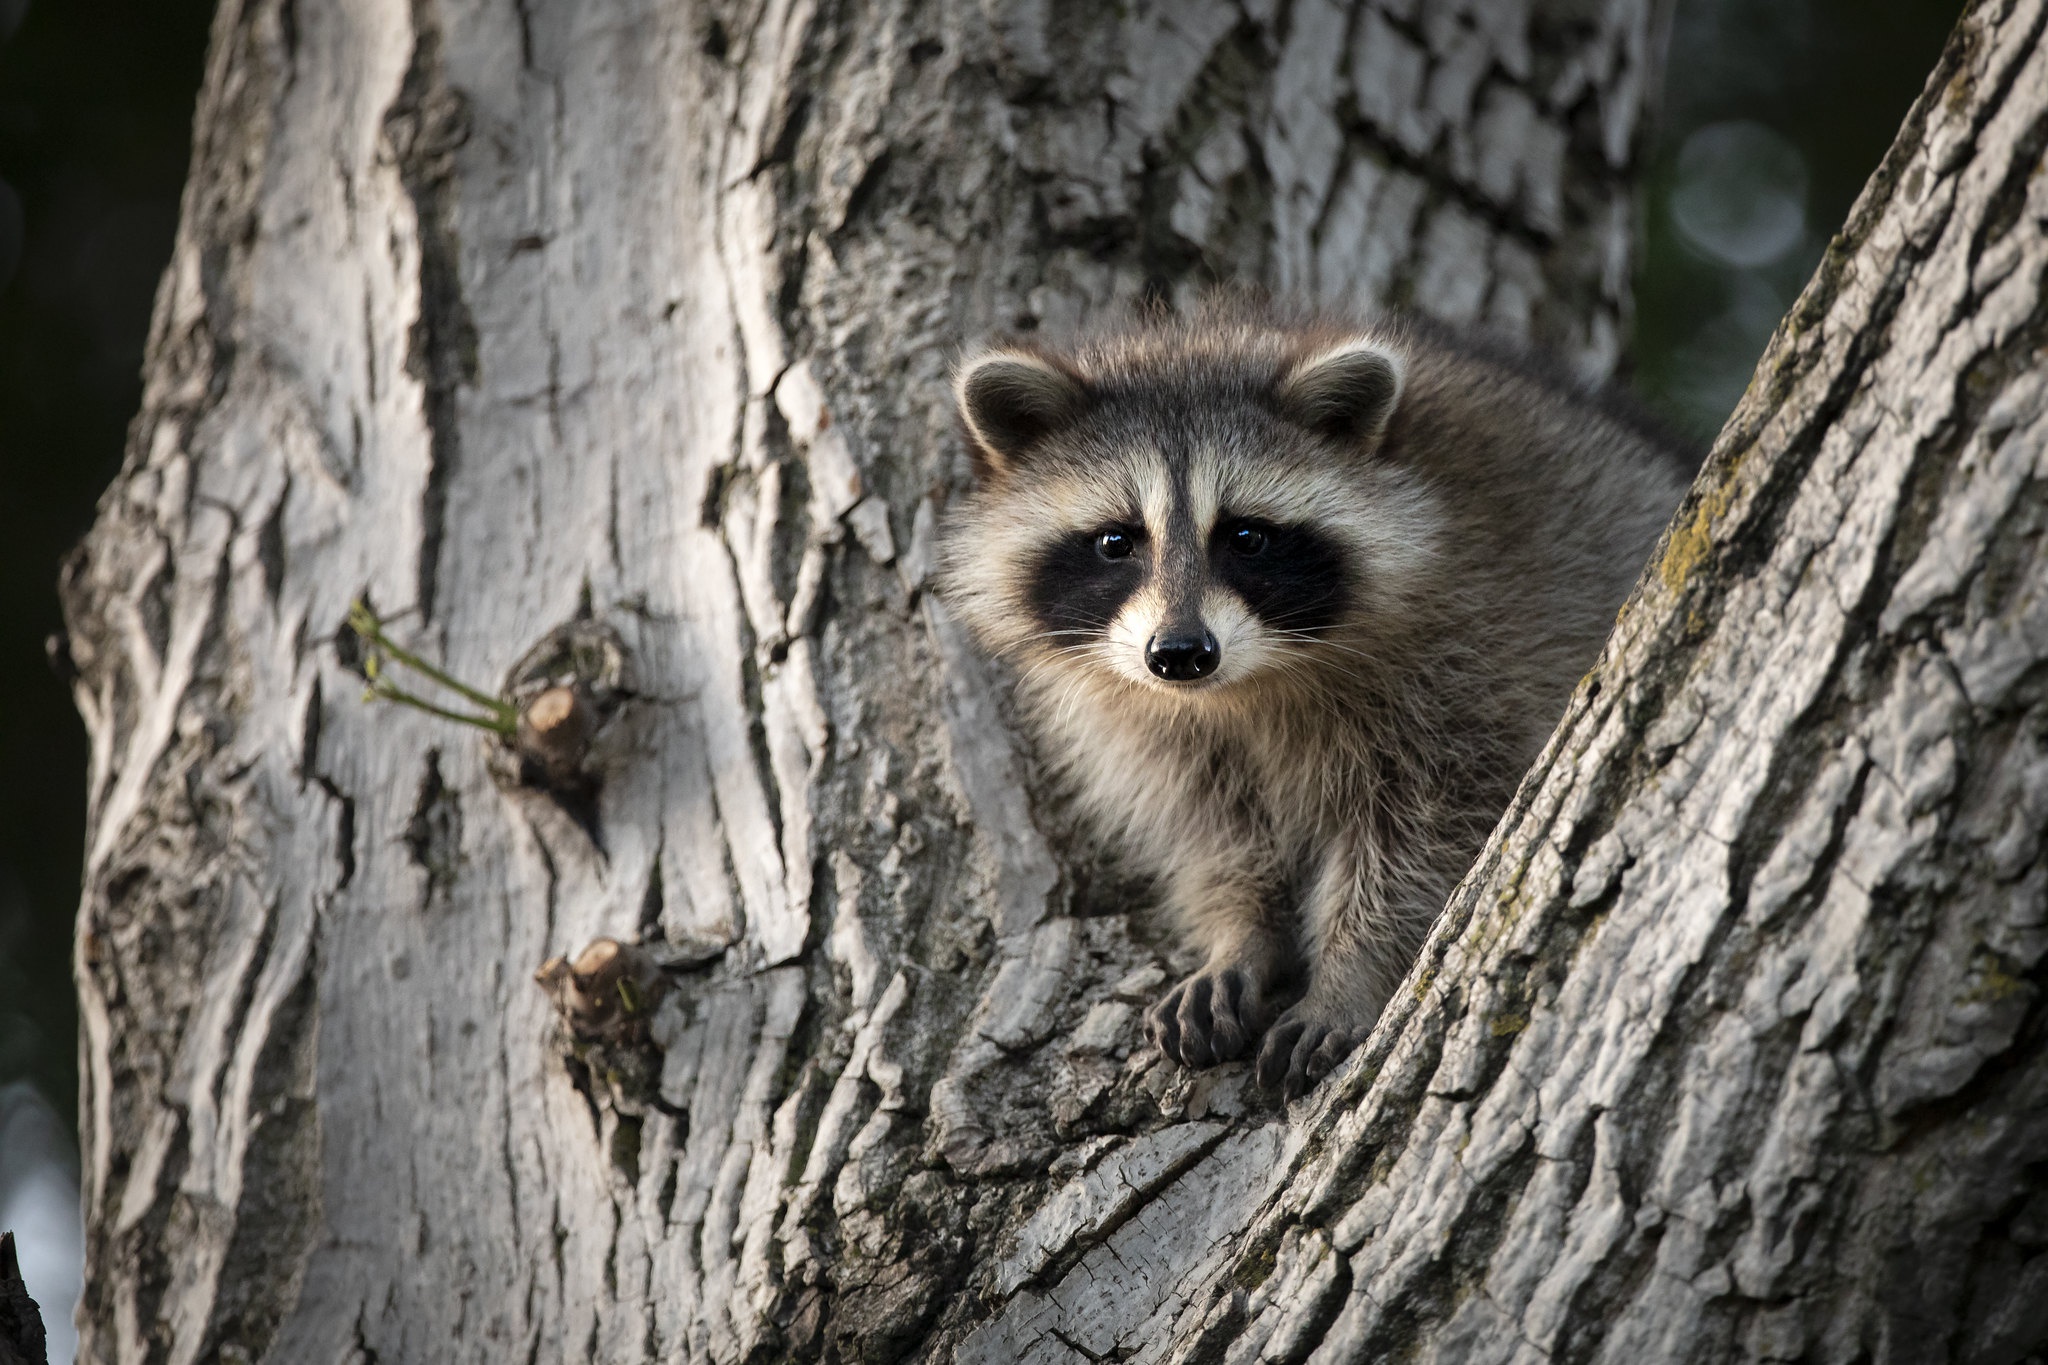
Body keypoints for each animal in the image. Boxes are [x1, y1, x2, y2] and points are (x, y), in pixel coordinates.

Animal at [937, 309, 1687, 1096]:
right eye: (1116, 541)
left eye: (1246, 536)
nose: (1180, 653)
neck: (1243, 686)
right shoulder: (1163, 730)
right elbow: (1217, 833)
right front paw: (1239, 933)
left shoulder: (1472, 663)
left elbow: (1430, 833)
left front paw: (1351, 971)